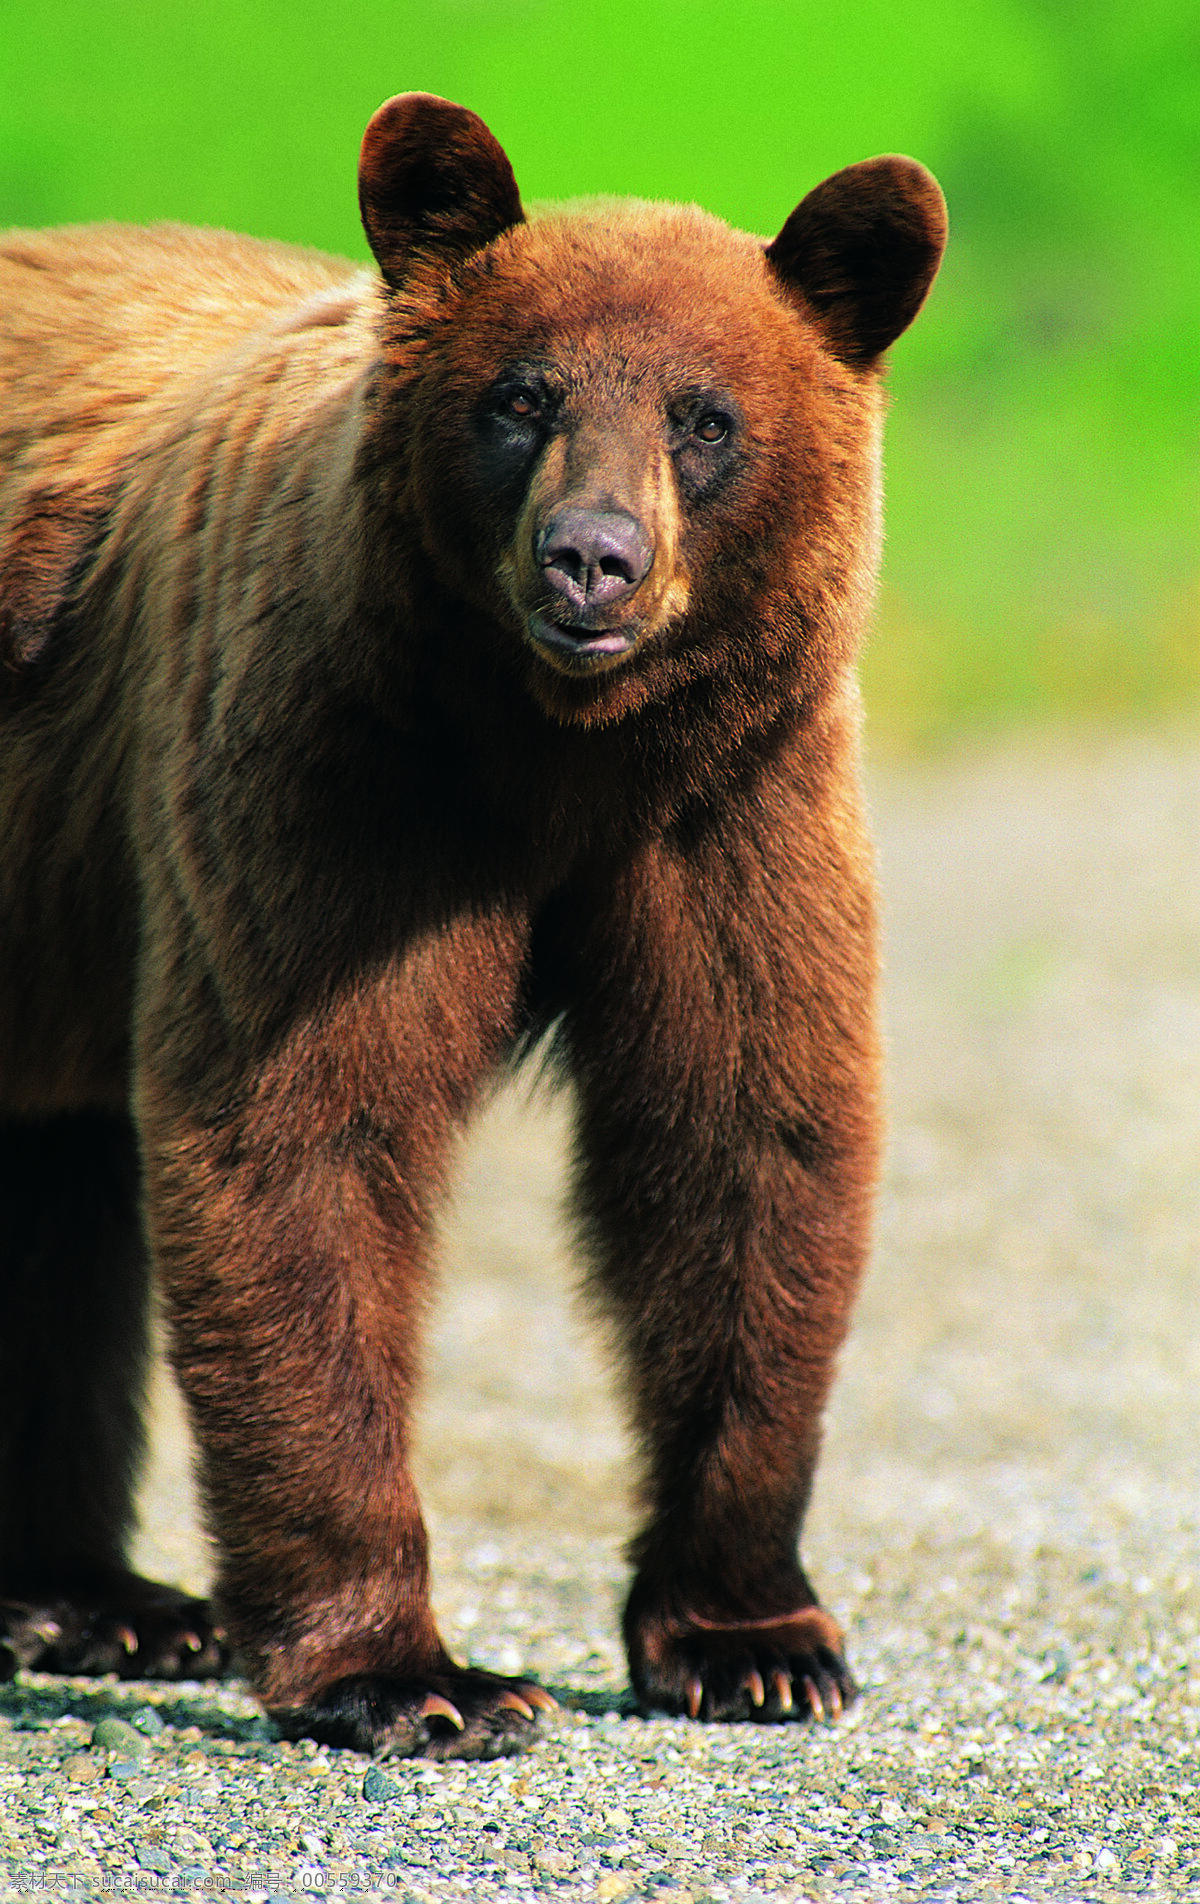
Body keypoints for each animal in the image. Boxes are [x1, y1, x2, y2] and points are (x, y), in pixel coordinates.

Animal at [0, 89, 948, 1751]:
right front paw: (413, 1675)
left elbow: (745, 1129)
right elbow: (303, 1123)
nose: (592, 557)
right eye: (521, 397)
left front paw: (755, 1637)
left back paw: (99, 1599)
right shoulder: (332, 764)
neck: (556, 749)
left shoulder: (733, 797)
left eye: (706, 416)